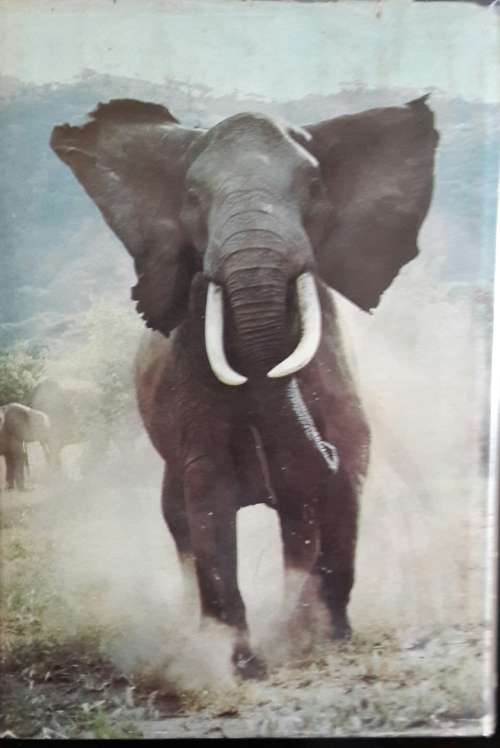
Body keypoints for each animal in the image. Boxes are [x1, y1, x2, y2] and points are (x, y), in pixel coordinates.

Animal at [51, 95, 438, 677]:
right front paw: (241, 664)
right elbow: (208, 493)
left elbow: (346, 460)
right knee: (179, 520)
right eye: (193, 196)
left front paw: (323, 638)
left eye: (314, 185)